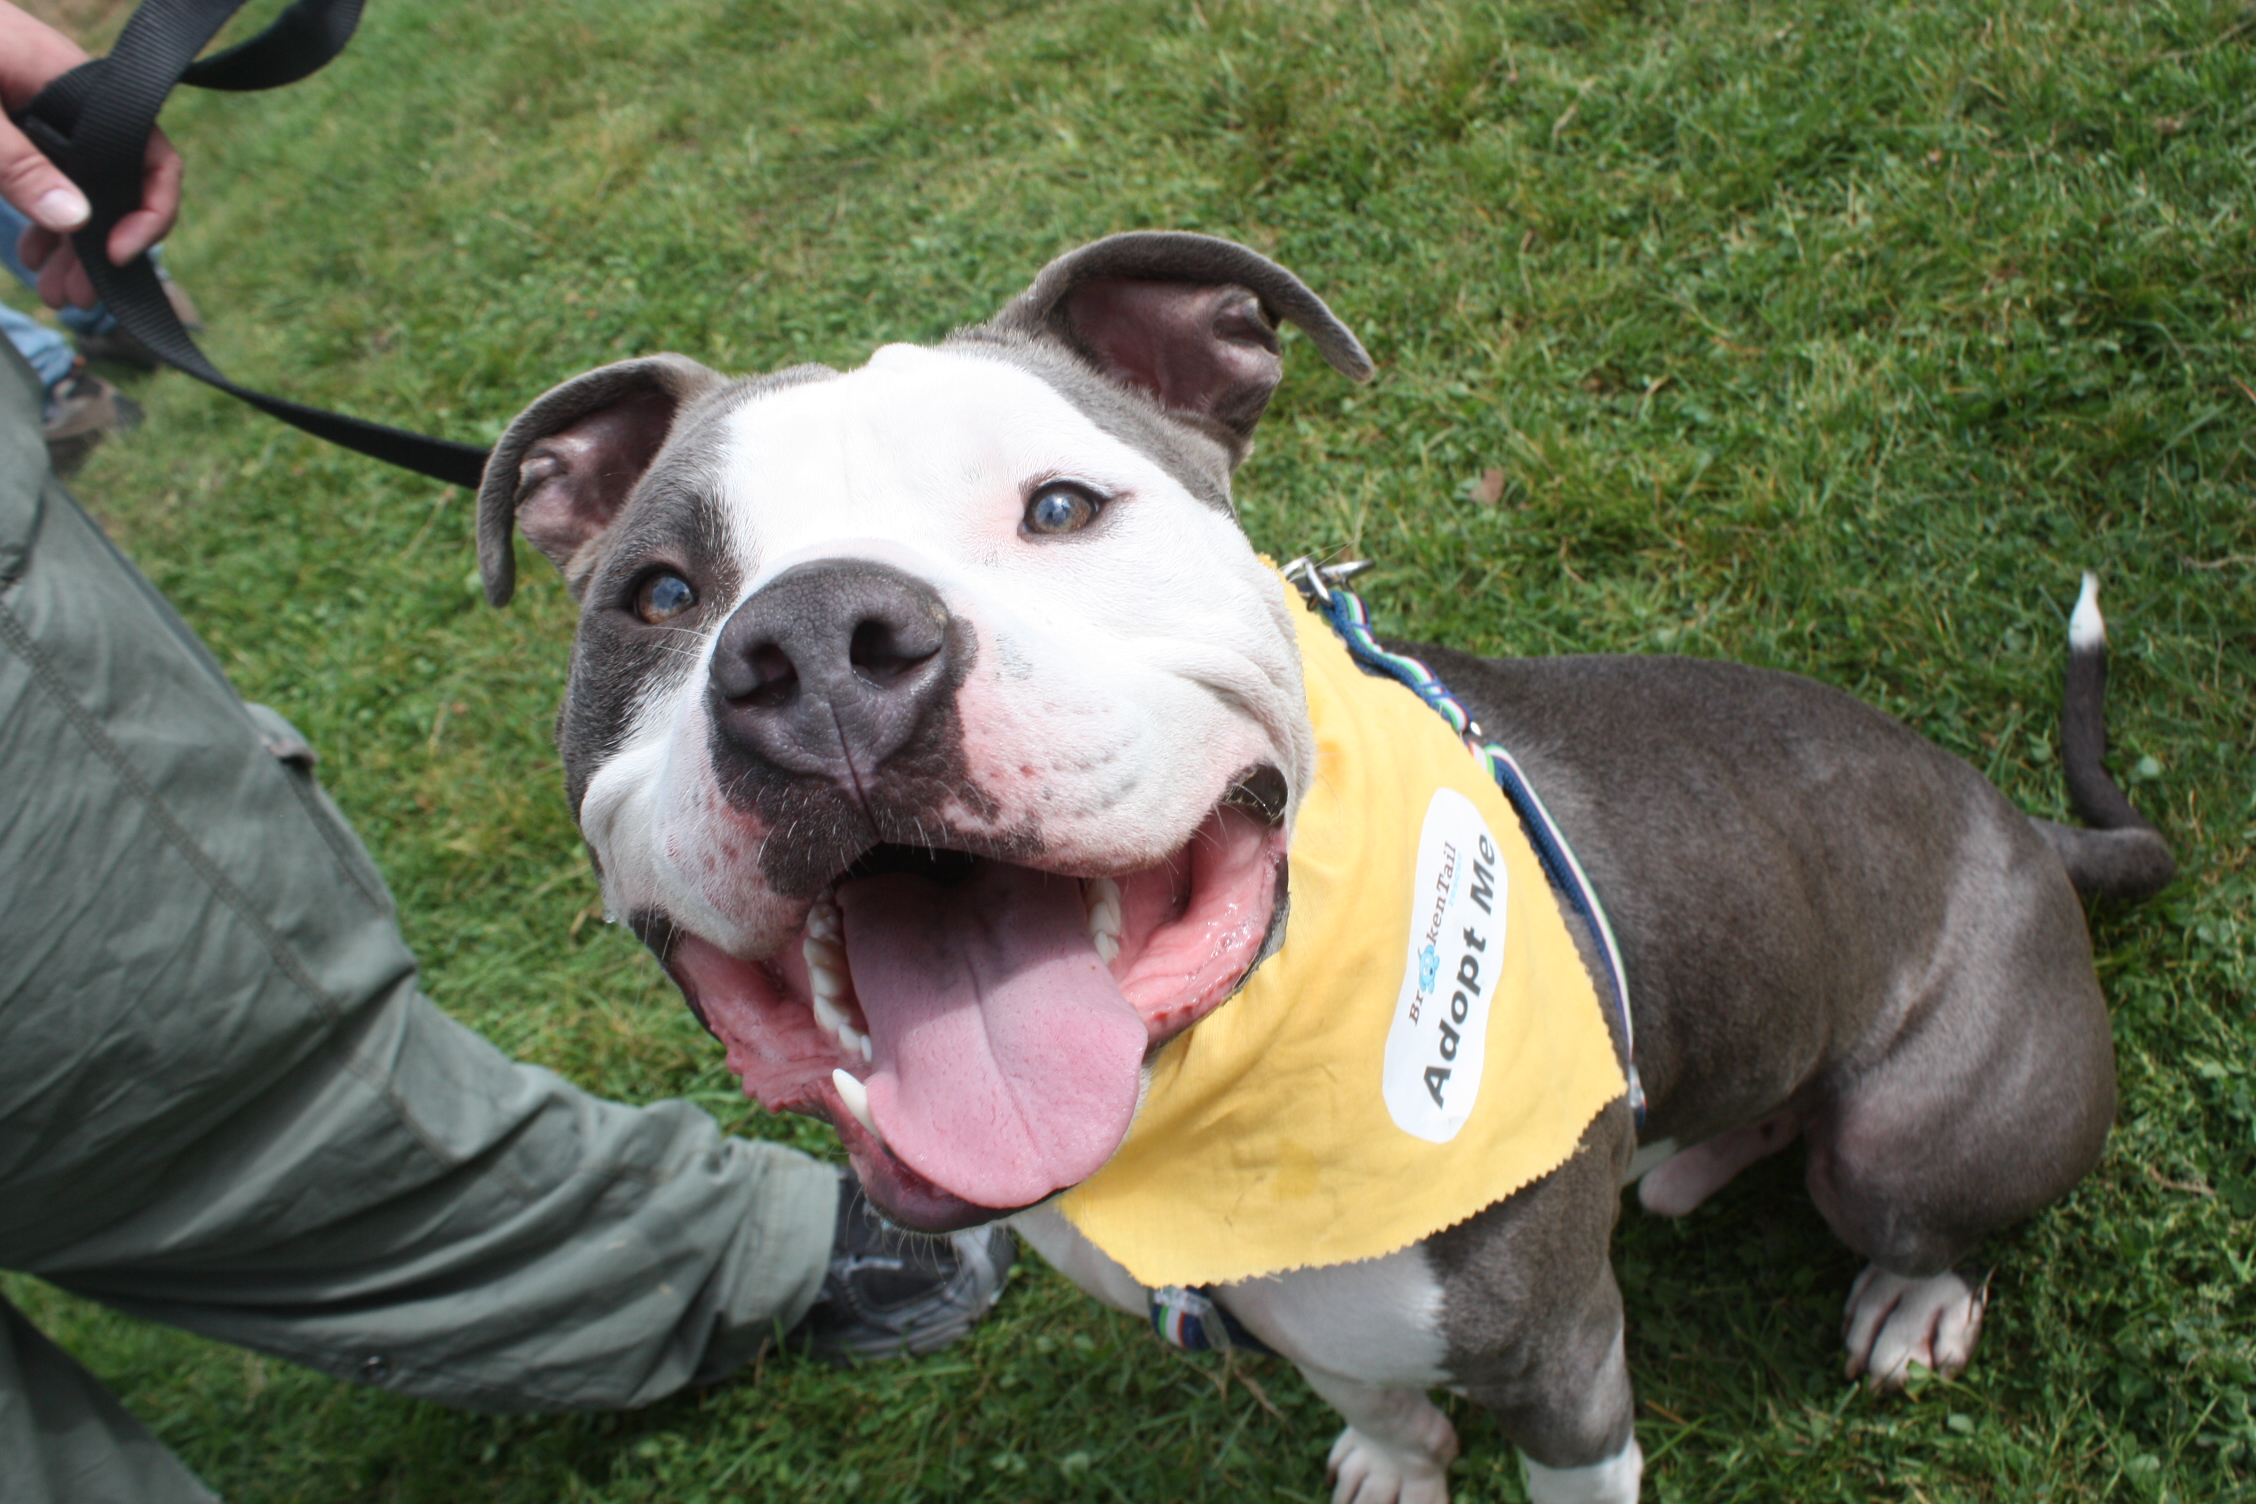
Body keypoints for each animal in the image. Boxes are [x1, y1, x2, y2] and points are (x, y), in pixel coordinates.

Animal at [473, 233, 2173, 1504]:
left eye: (1063, 506)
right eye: (658, 593)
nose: (822, 650)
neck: (1203, 1119)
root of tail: (2035, 831)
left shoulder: (1567, 1366)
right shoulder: (1324, 1320)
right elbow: (1372, 1393)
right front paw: (1393, 1457)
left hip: (1910, 1130)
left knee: (1915, 1205)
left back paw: (1912, 1295)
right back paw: (1687, 1158)